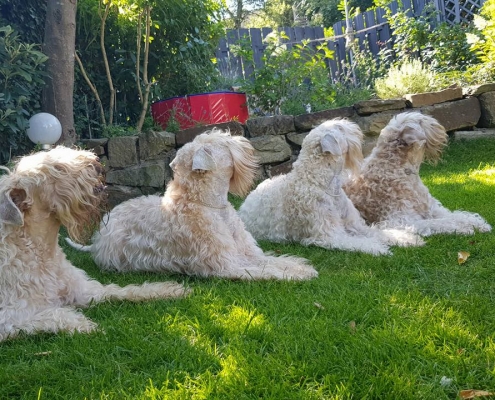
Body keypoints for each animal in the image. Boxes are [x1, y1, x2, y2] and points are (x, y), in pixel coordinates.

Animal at [69, 130, 318, 280]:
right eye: (222, 142)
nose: (245, 141)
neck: (211, 206)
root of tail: (98, 237)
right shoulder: (228, 264)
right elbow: (267, 270)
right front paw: (298, 274)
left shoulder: (247, 253)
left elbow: (274, 261)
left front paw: (301, 267)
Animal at [238, 119, 424, 256]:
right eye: (339, 128)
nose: (355, 126)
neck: (322, 183)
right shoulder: (329, 235)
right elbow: (359, 242)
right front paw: (378, 248)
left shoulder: (356, 226)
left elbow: (380, 232)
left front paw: (408, 239)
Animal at [344, 111, 492, 236]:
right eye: (421, 121)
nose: (441, 128)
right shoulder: (403, 220)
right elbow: (439, 223)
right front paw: (464, 228)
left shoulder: (432, 209)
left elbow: (456, 215)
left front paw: (478, 223)